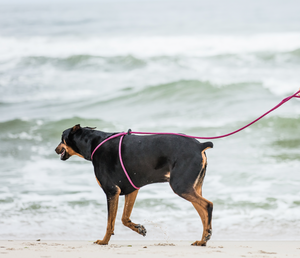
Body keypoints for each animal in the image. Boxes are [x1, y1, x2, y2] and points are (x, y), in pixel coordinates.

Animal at [54, 124, 213, 246]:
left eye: (61, 138)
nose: (55, 149)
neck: (93, 143)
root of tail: (200, 145)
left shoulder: (111, 191)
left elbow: (110, 222)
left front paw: (104, 241)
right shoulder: (132, 189)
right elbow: (124, 218)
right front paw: (139, 228)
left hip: (181, 186)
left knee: (208, 205)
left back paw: (205, 236)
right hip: (193, 187)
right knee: (203, 214)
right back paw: (202, 240)